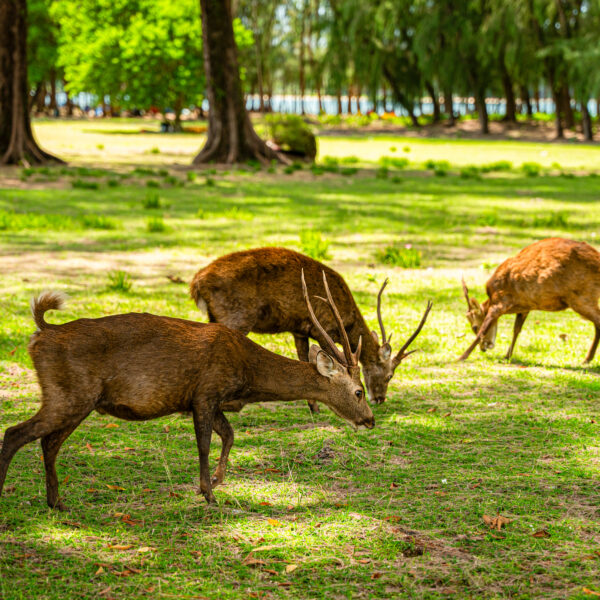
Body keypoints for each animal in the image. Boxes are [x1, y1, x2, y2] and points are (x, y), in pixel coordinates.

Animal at [0, 274, 372, 510]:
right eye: (358, 391)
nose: (370, 419)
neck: (247, 372)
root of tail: (42, 333)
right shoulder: (205, 392)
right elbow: (205, 444)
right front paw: (209, 493)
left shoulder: (212, 400)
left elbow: (230, 435)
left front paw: (218, 481)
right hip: (70, 394)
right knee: (16, 432)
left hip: (76, 399)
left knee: (48, 442)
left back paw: (57, 502)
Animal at [191, 246, 432, 410]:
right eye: (390, 375)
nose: (380, 399)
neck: (347, 321)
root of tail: (196, 283)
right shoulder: (323, 327)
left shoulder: (299, 330)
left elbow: (304, 358)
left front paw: (313, 407)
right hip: (235, 318)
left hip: (215, 317)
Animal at [458, 237, 600, 360]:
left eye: (474, 327)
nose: (484, 347)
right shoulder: (524, 307)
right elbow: (516, 330)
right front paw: (507, 356)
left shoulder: (501, 302)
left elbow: (484, 329)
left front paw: (461, 357)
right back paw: (588, 358)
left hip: (582, 296)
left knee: (597, 320)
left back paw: (587, 359)